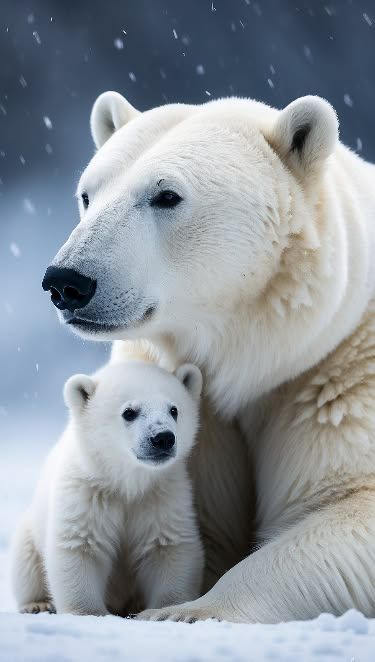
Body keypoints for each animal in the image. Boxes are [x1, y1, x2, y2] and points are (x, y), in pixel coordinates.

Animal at [11, 360, 204, 620]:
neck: (125, 482)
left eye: (174, 409)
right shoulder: (87, 492)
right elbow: (80, 545)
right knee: (25, 562)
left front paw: (164, 609)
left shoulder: (160, 495)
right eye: (129, 412)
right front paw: (88, 613)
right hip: (29, 533)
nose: (163, 438)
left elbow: (168, 546)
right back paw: (37, 604)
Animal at [41, 91, 375, 624]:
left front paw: (186, 611)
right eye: (87, 194)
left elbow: (346, 505)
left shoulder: (337, 378)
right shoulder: (193, 403)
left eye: (166, 195)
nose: (67, 282)